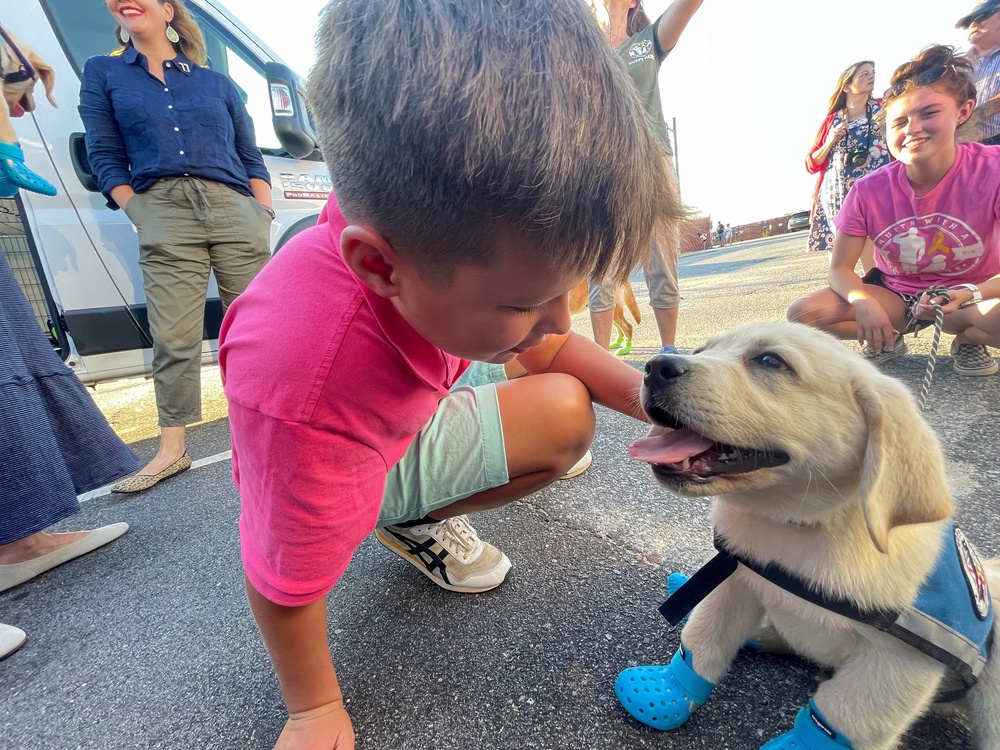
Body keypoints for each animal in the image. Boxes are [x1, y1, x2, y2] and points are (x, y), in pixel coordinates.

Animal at [620, 324, 996, 750]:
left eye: (770, 361)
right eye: (700, 350)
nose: (655, 366)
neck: (799, 530)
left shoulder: (898, 665)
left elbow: (843, 715)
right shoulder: (735, 581)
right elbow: (703, 639)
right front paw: (668, 690)